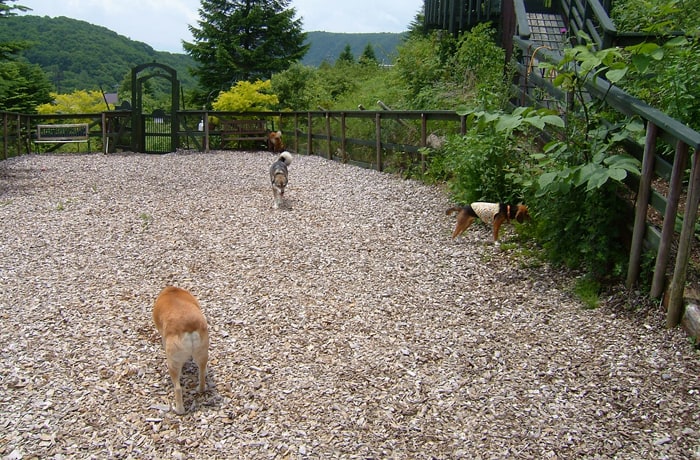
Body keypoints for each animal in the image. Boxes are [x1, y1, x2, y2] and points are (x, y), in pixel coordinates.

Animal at [152, 286, 209, 416]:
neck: (172, 292)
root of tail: (189, 326)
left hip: (173, 363)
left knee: (178, 388)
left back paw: (178, 410)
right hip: (202, 354)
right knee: (202, 374)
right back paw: (200, 388)